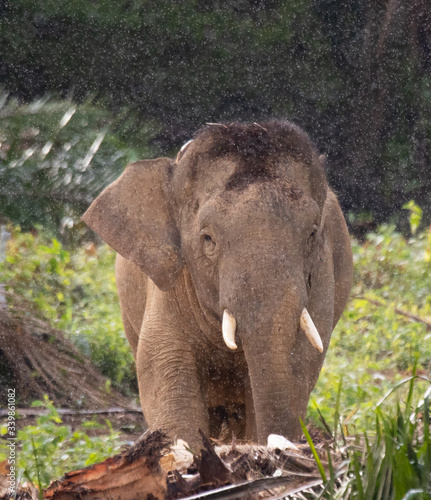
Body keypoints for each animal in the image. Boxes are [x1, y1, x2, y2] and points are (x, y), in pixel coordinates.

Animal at [82, 122, 352, 450]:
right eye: (208, 239)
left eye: (312, 234)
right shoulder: (170, 288)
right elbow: (165, 371)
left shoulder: (322, 277)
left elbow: (300, 364)